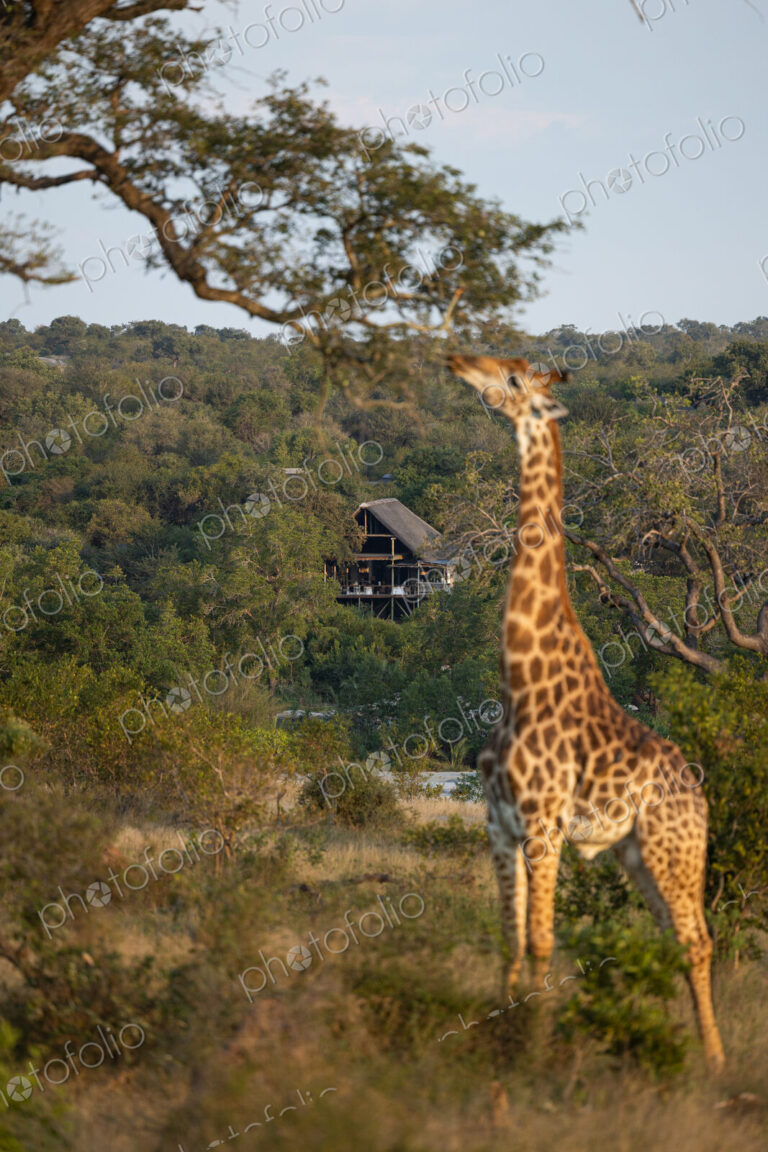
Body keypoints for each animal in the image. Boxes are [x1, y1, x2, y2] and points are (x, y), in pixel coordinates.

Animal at [446, 352, 725, 1074]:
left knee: (699, 938)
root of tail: (700, 794)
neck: (519, 679)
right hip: (636, 853)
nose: (459, 362)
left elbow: (543, 942)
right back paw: (699, 1051)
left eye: (514, 378)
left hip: (672, 849)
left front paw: (534, 1054)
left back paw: (714, 1062)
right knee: (678, 937)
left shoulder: (545, 826)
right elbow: (511, 941)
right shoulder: (499, 825)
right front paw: (501, 1053)